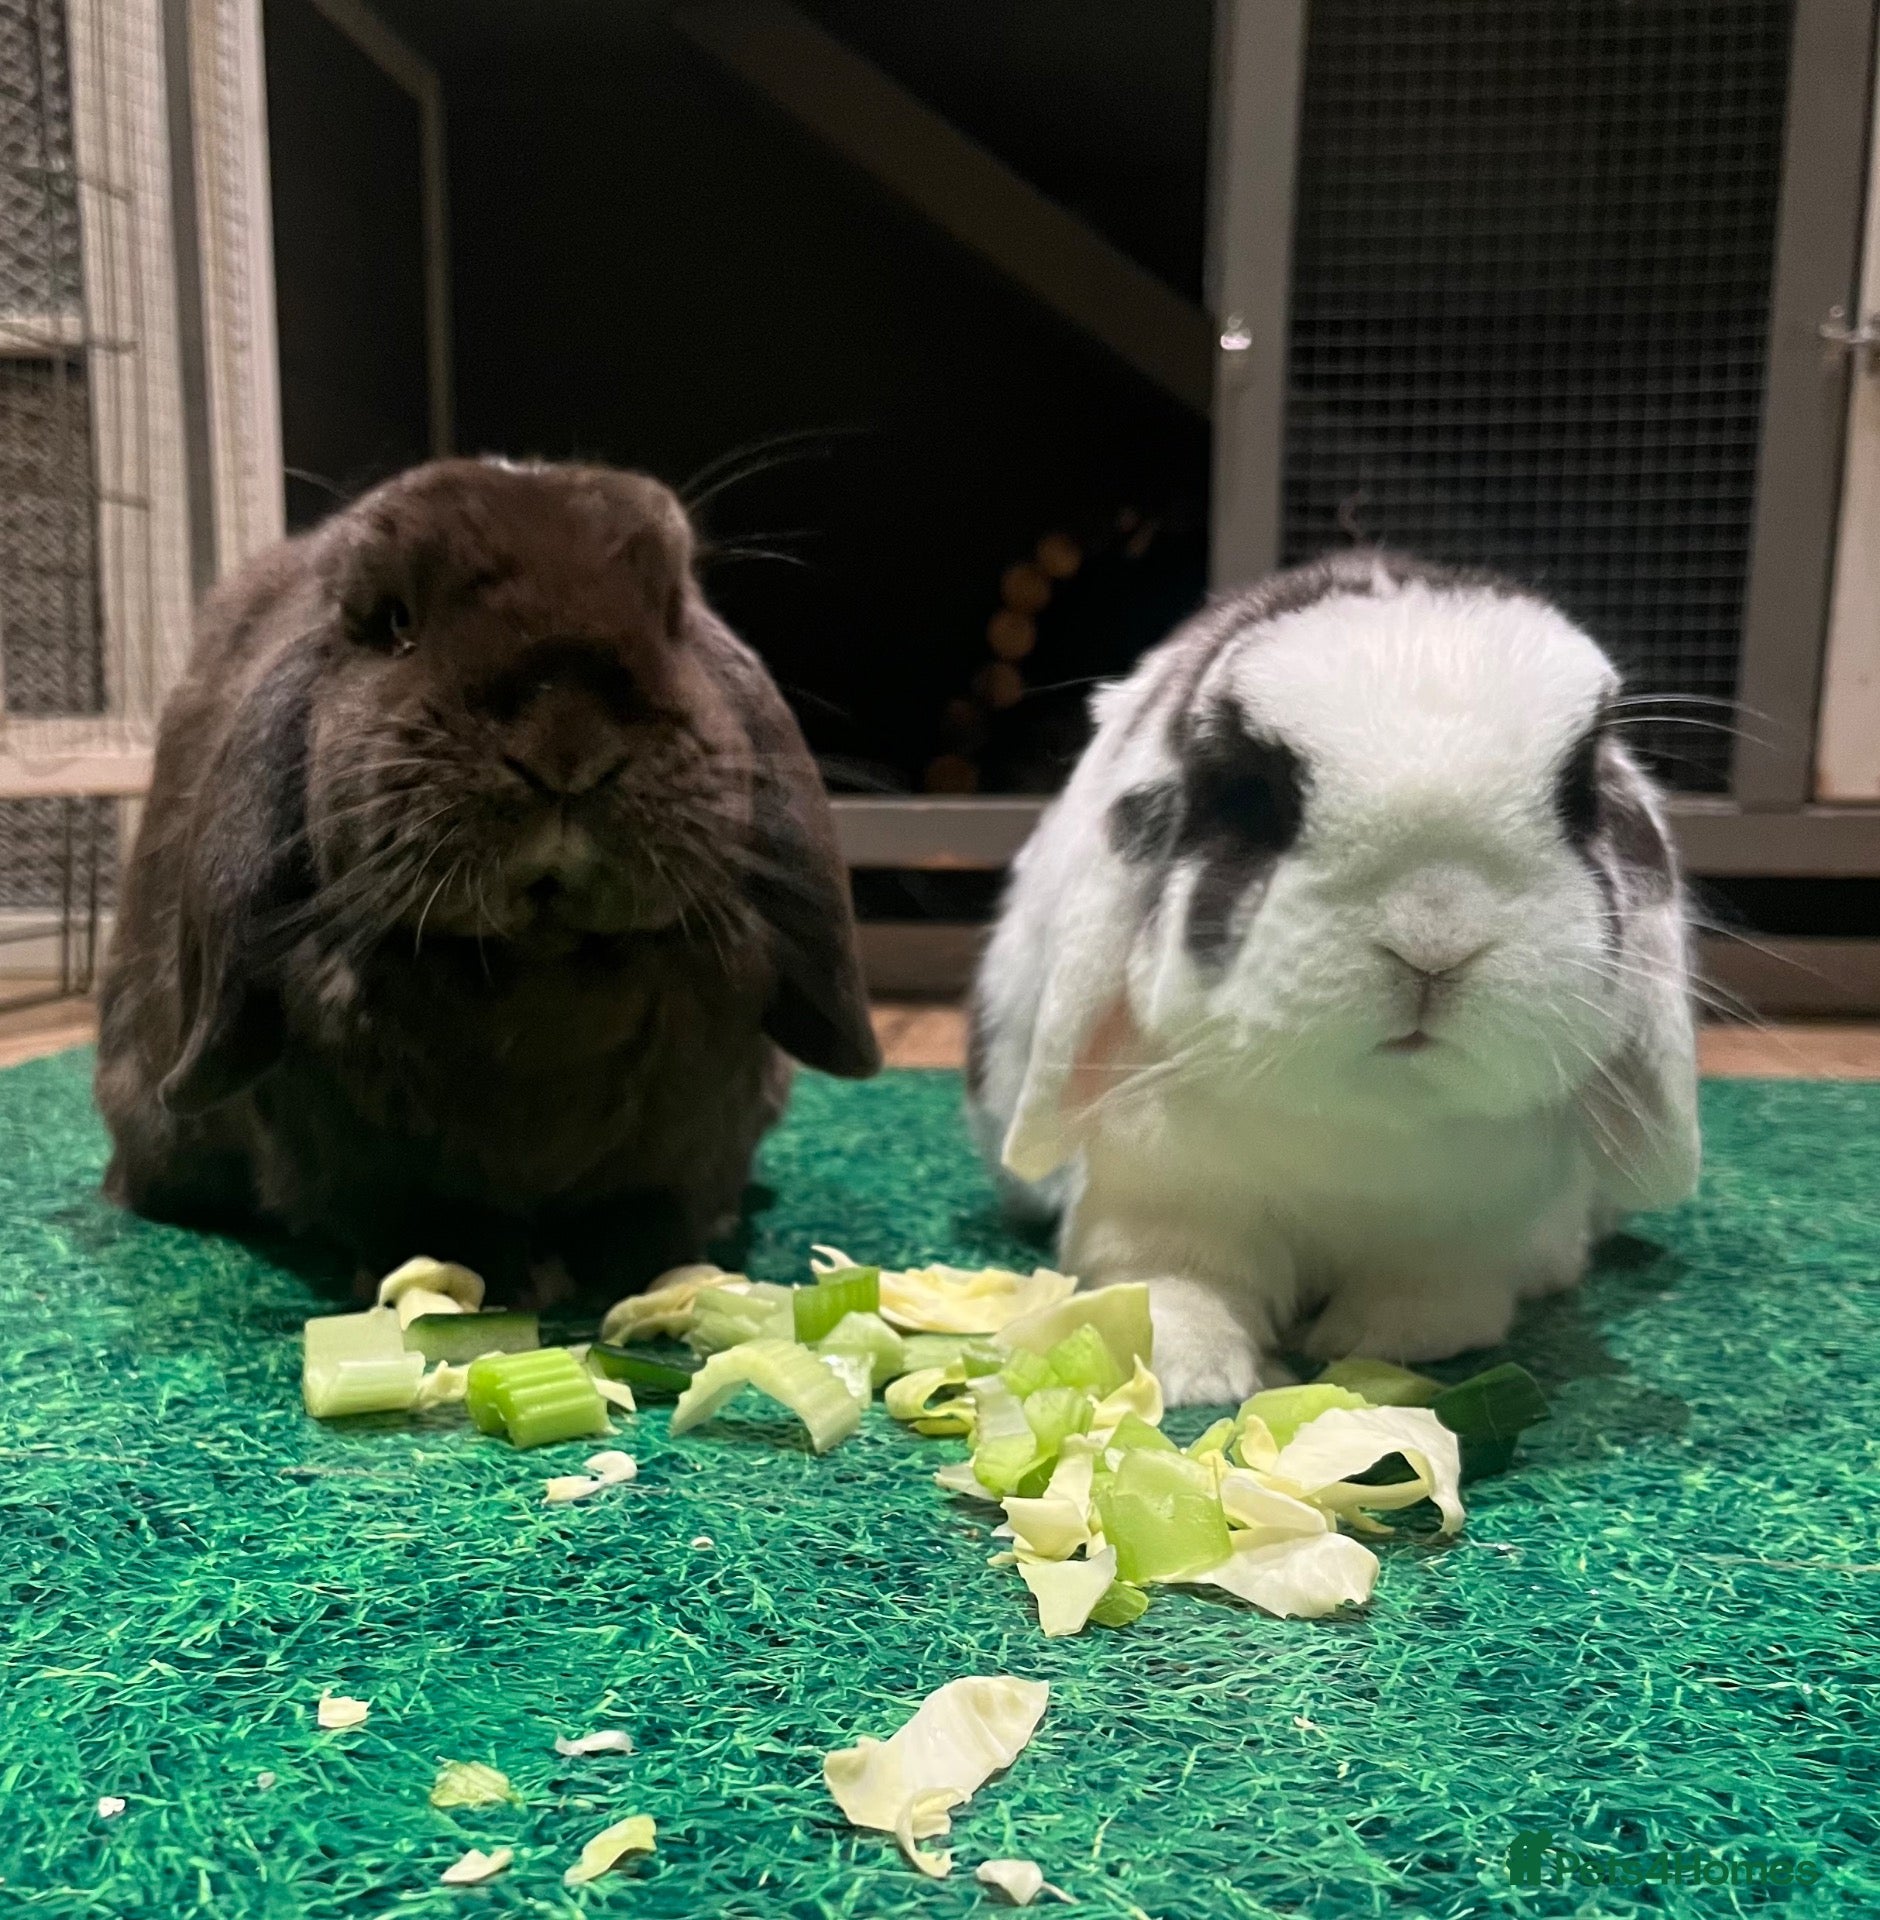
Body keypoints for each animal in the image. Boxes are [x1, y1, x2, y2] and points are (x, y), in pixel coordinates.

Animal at [95, 456, 880, 1298]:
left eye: (673, 615)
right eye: (396, 623)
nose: (566, 742)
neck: (545, 969)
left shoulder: (691, 1143)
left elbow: (654, 1205)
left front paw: (636, 1269)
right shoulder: (362, 1164)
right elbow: (405, 1211)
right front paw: (483, 1273)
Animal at [967, 551, 1699, 1406]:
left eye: (1578, 794)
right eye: (1252, 797)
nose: (1434, 939)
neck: (1369, 1125)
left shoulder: (1462, 1231)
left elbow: (1429, 1295)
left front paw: (1390, 1346)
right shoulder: (1161, 1202)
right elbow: (1178, 1283)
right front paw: (1202, 1376)